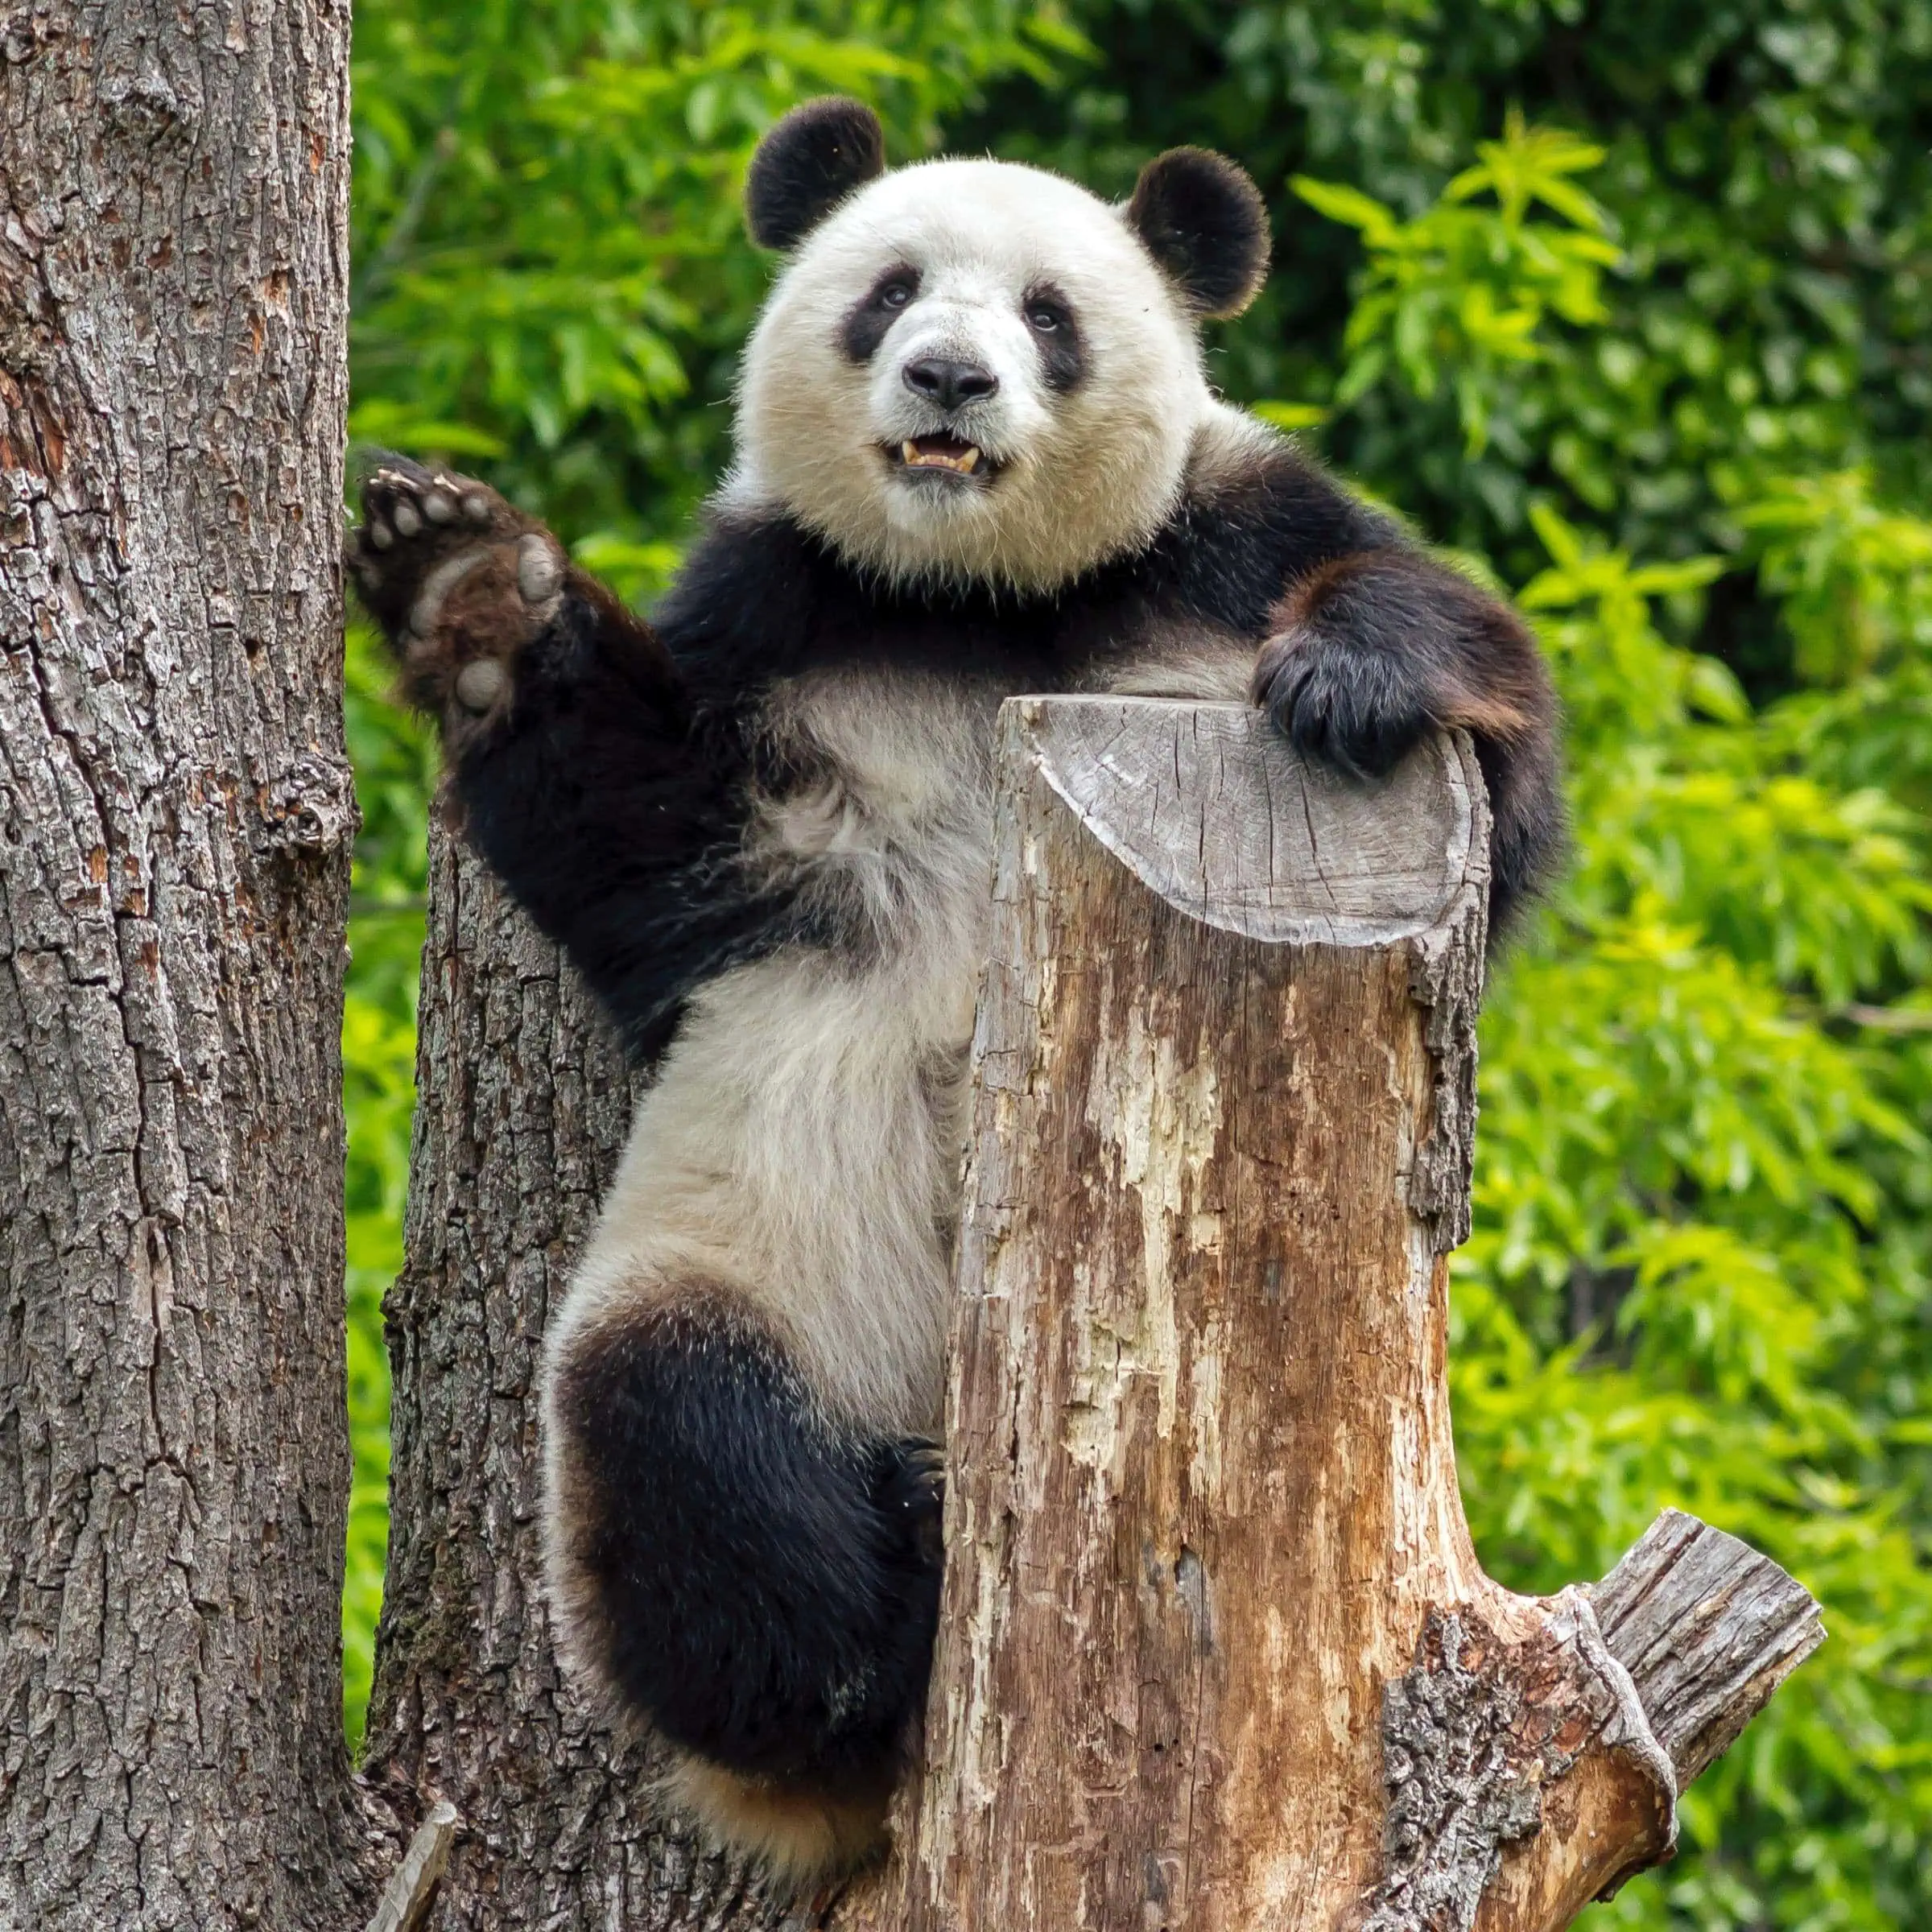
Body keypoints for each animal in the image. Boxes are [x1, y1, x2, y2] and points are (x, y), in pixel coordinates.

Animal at [344, 94, 1553, 1885]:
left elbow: (1496, 751)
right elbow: (641, 847)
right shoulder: (769, 623)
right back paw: (884, 1624)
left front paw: (1353, 676)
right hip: (750, 1274)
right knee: (687, 1449)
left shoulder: (1222, 543)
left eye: (1049, 313)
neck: (980, 604)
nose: (949, 380)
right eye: (890, 288)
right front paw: (472, 592)